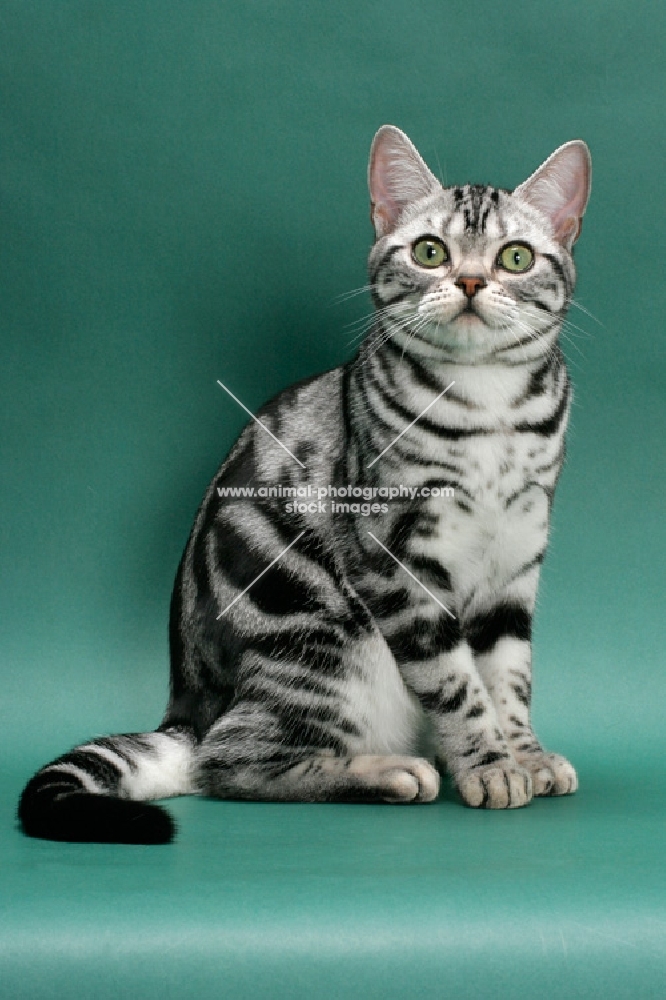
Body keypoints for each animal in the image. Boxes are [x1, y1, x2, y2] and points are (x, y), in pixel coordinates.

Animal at [19, 125, 592, 844]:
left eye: (515, 258)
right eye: (430, 252)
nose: (468, 280)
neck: (490, 409)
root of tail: (188, 711)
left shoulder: (515, 558)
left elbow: (508, 677)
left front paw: (526, 755)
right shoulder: (396, 558)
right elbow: (457, 683)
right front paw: (489, 766)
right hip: (327, 643)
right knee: (228, 761)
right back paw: (390, 772)